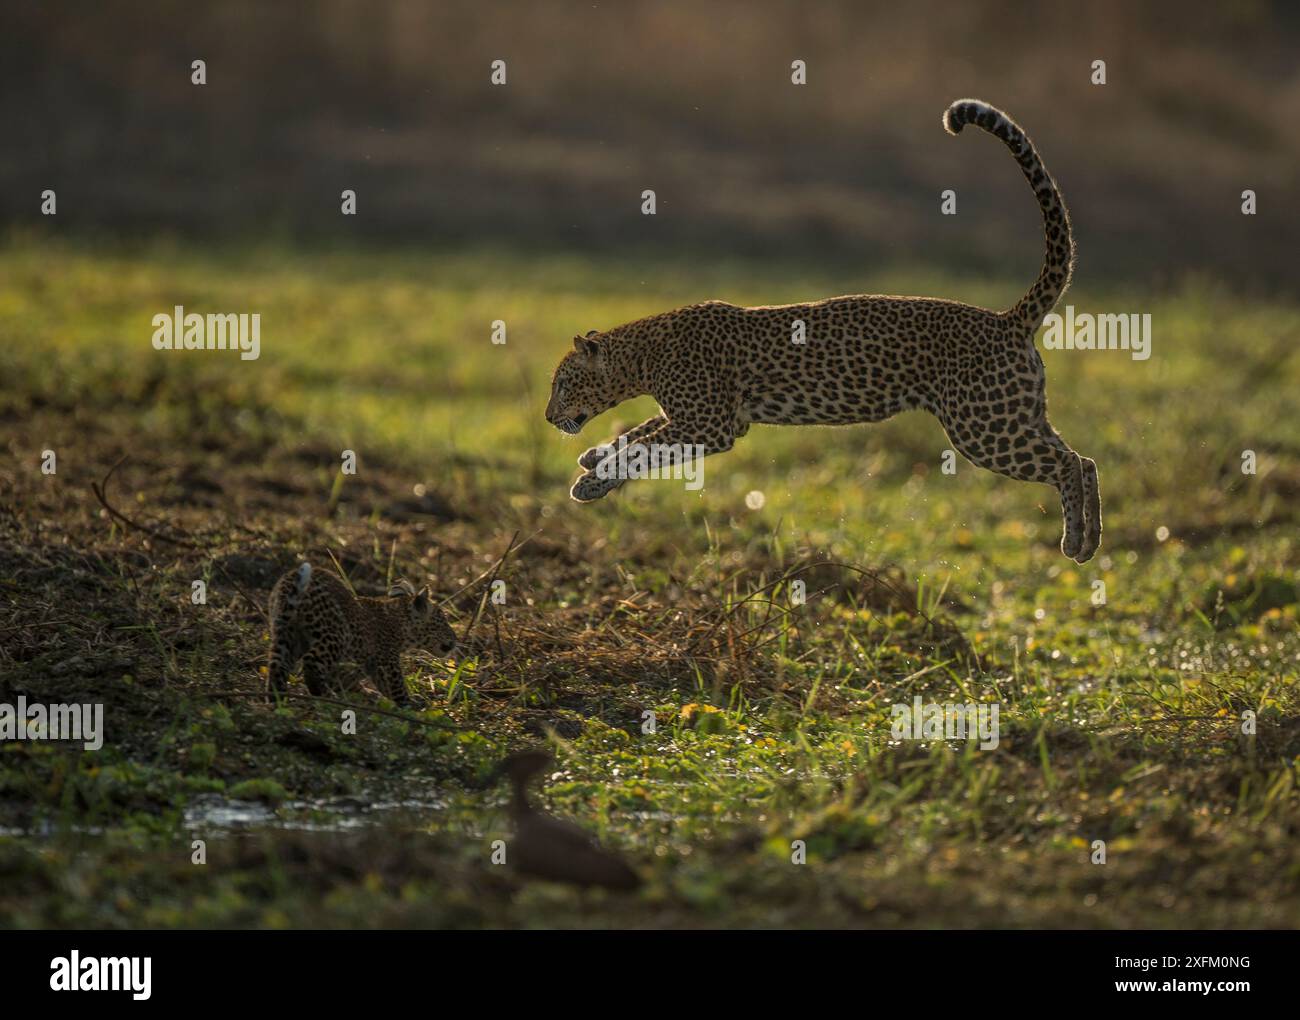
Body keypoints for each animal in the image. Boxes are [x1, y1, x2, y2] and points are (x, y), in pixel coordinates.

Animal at [266, 562, 457, 705]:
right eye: (443, 620)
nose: (455, 639)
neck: (400, 623)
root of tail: (290, 577)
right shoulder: (387, 663)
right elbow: (396, 688)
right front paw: (412, 705)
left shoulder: (351, 671)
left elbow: (355, 685)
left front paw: (372, 697)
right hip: (336, 634)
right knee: (311, 661)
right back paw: (327, 699)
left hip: (285, 633)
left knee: (278, 664)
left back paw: (277, 699)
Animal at [544, 98, 1101, 563]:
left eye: (562, 383)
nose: (549, 417)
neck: (642, 354)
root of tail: (1008, 318)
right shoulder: (701, 419)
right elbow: (636, 434)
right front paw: (595, 458)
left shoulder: (709, 424)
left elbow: (641, 449)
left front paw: (591, 482)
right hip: (1017, 414)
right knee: (1086, 459)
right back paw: (1090, 538)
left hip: (985, 428)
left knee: (1068, 463)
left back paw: (1076, 542)